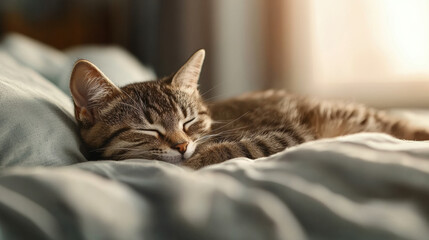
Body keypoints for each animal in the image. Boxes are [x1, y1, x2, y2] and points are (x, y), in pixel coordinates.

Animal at [68, 48, 428, 169]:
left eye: (189, 121)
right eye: (147, 129)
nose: (182, 146)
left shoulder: (288, 132)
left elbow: (237, 146)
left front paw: (198, 158)